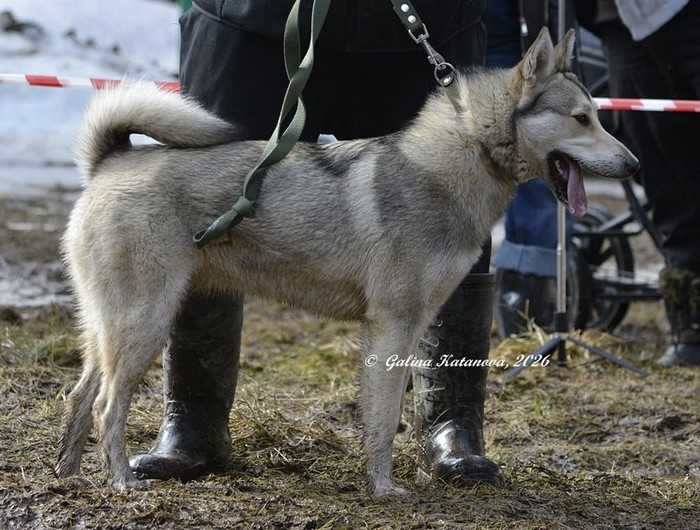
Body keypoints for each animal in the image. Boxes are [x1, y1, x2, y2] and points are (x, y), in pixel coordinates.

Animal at [56, 28, 639, 495]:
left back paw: (67, 474)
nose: (633, 164)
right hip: (144, 323)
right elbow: (382, 421)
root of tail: (110, 161)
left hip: (111, 327)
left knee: (80, 395)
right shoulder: (391, 325)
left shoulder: (415, 324)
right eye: (582, 119)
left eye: (597, 117)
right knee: (107, 406)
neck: (460, 157)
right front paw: (383, 489)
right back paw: (121, 481)